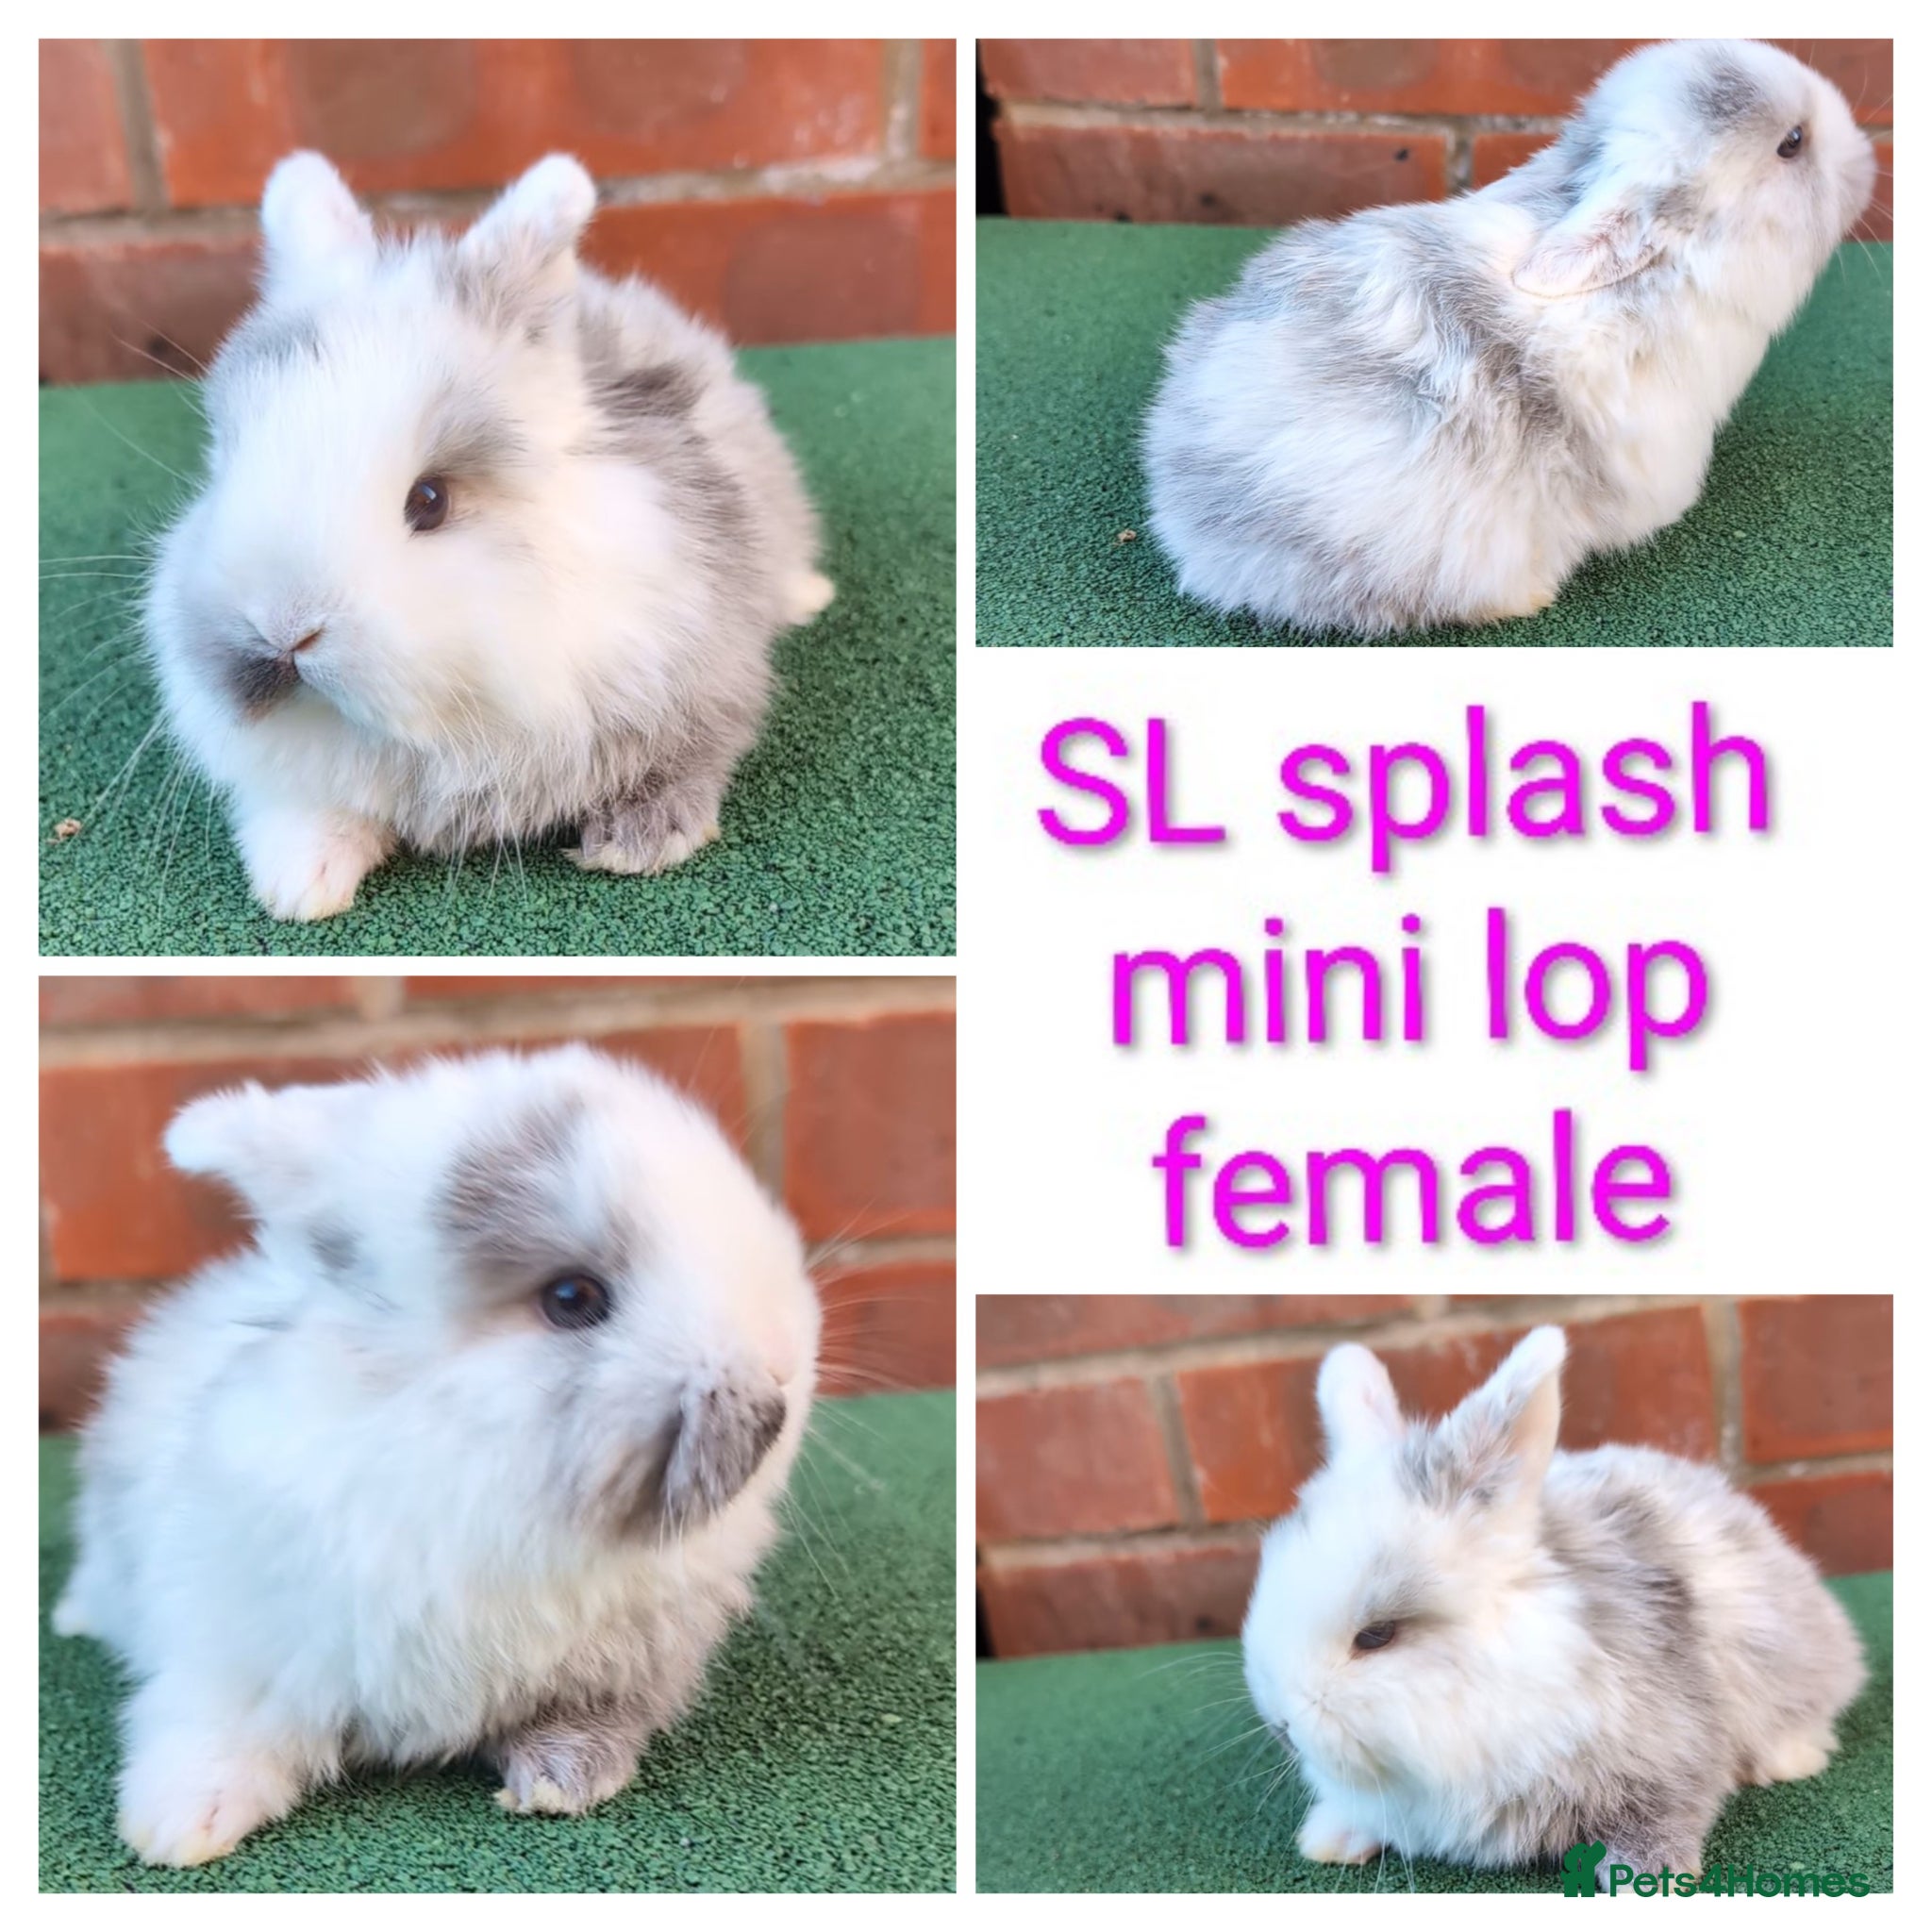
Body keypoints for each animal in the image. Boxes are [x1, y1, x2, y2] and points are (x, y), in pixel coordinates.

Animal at [53, 1046, 821, 1867]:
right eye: (573, 1298)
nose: (781, 1378)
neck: (482, 1478)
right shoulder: (239, 1650)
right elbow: (215, 1730)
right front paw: (179, 1827)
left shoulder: (611, 1673)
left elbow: (581, 1723)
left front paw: (560, 1784)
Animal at [143, 152, 835, 920]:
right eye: (223, 468)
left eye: (430, 500)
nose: (282, 631)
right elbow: (308, 814)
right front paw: (300, 887)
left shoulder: (696, 672)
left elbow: (687, 761)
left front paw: (635, 844)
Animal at [1242, 1327, 1866, 1885]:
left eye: (1377, 1635)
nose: (1282, 1726)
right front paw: (1330, 1840)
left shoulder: (1667, 1757)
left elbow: (1656, 1822)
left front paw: (1648, 1882)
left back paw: (1791, 1758)